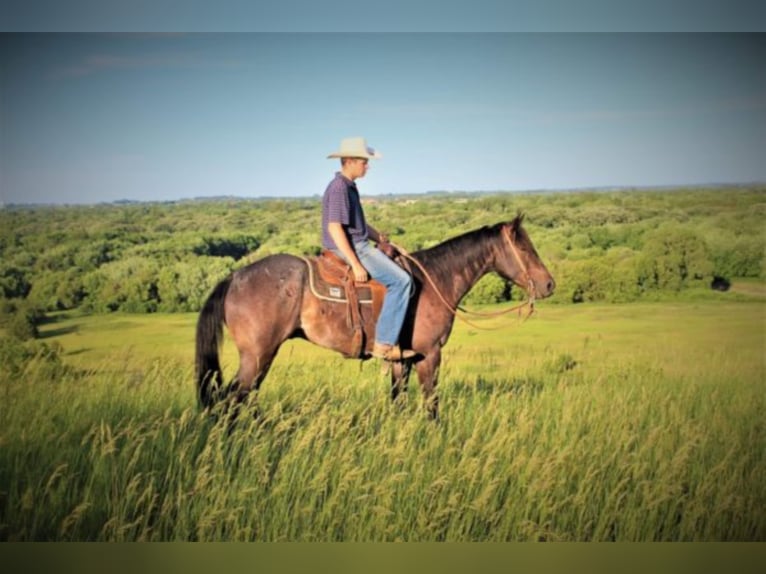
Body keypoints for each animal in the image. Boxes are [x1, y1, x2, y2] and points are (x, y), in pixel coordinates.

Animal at [196, 214, 560, 420]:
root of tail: (234, 277)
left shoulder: (402, 360)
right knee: (232, 400)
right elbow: (431, 403)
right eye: (524, 248)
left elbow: (398, 401)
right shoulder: (429, 355)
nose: (548, 284)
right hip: (258, 355)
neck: (435, 280)